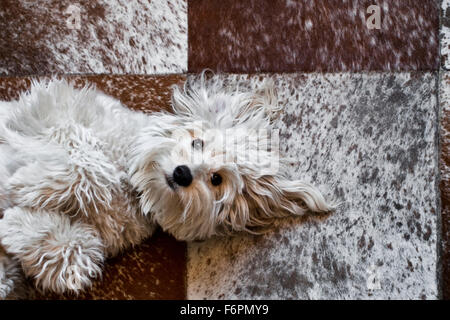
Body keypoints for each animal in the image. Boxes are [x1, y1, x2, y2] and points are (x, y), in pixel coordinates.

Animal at [0, 75, 334, 298]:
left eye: (216, 179)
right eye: (197, 142)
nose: (182, 173)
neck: (133, 186)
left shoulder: (91, 243)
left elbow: (72, 252)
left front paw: (16, 220)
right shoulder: (53, 113)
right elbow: (88, 167)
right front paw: (24, 183)